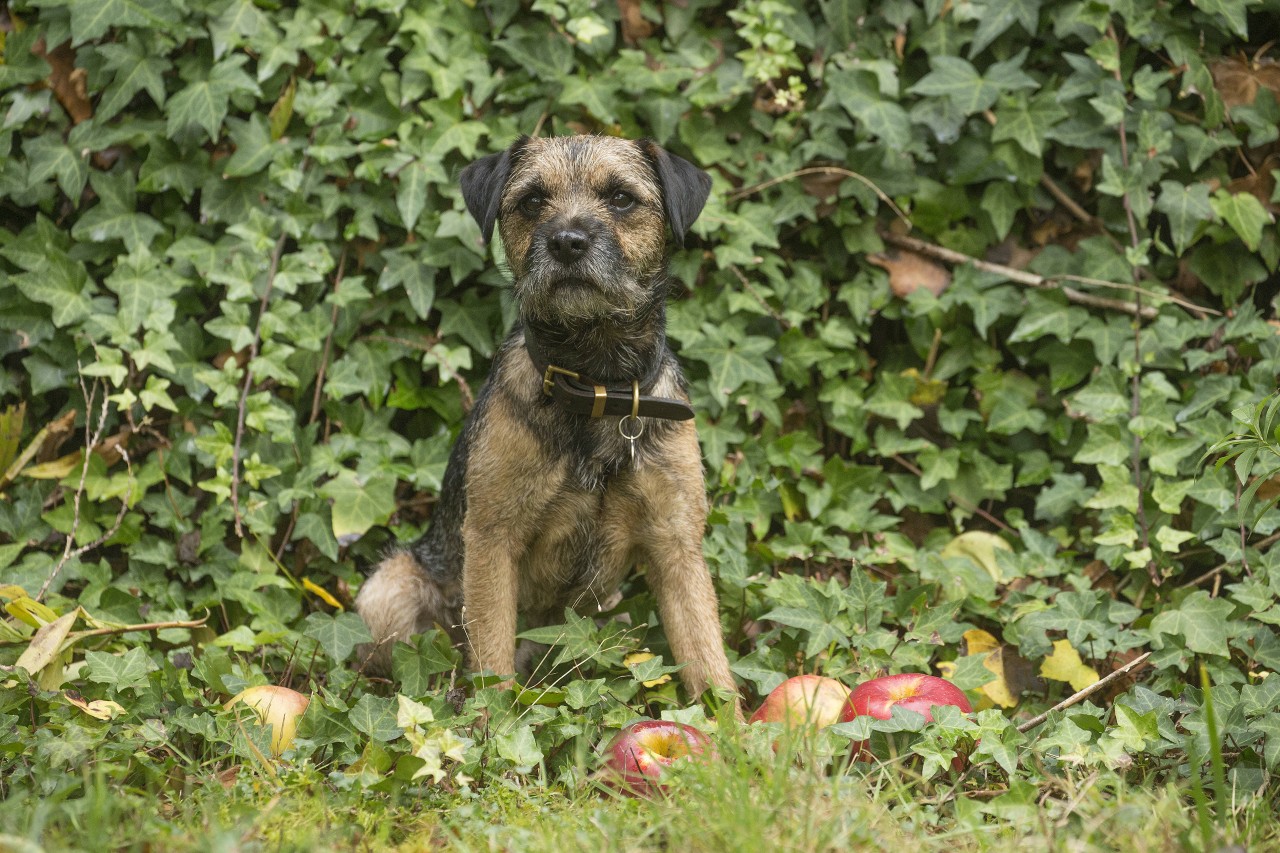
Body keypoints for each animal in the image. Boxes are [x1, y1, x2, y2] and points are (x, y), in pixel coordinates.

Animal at [358, 134, 742, 701]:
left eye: (621, 198)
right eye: (533, 200)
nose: (566, 242)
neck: (595, 383)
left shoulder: (677, 546)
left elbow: (707, 658)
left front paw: (730, 724)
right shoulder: (492, 540)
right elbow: (492, 658)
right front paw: (491, 724)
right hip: (389, 589)